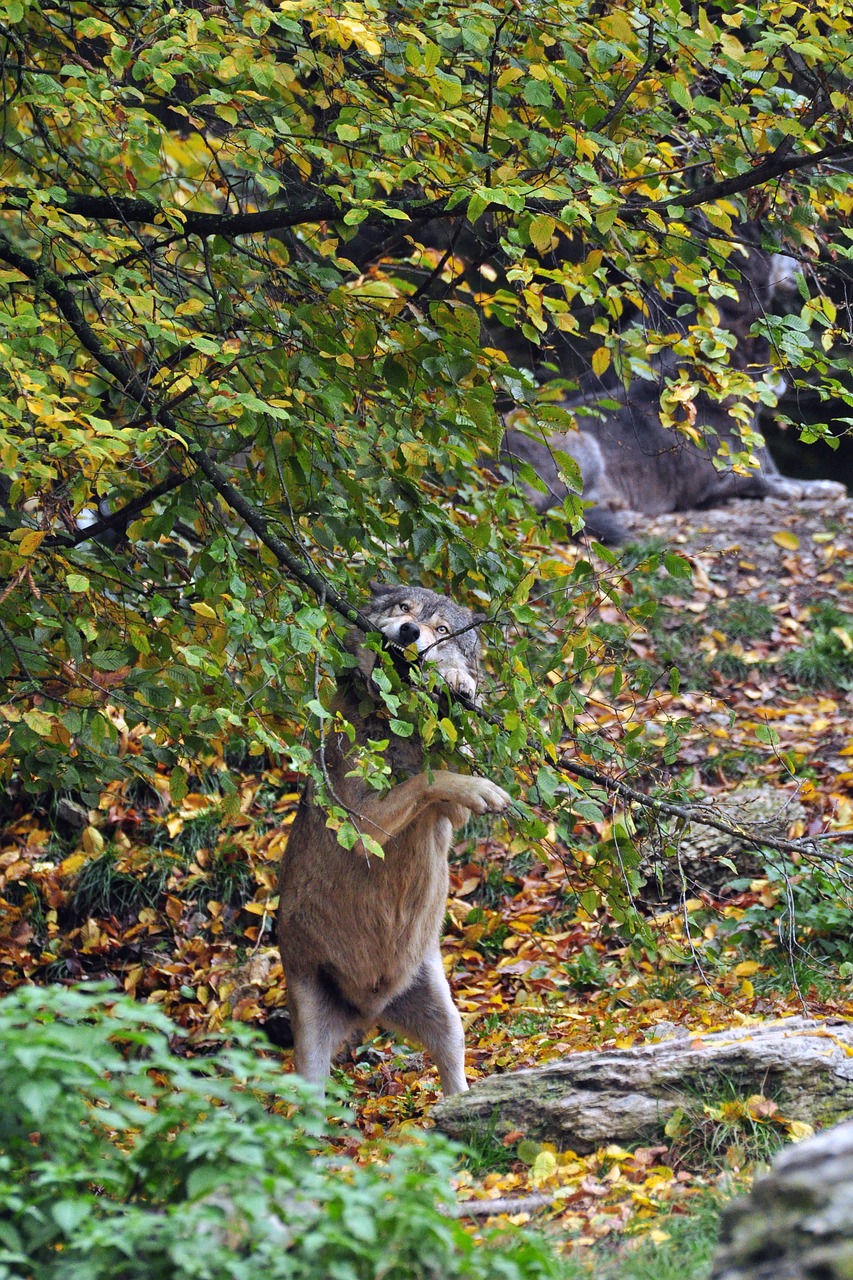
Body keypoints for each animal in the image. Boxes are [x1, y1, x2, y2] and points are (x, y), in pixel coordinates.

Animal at [275, 586, 507, 1095]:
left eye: (443, 630)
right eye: (403, 609)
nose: (409, 632)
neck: (396, 722)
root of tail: (368, 1011)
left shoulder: (451, 815)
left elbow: (445, 771)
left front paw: (460, 683)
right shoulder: (362, 827)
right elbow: (427, 780)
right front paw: (484, 788)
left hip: (445, 1017)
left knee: (453, 1069)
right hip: (310, 1050)